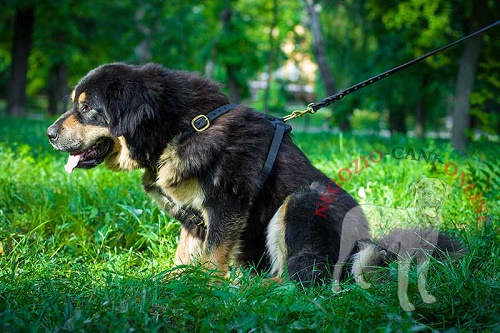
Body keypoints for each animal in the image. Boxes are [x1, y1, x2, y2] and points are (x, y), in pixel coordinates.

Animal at [47, 62, 370, 282]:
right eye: (75, 104)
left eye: (87, 108)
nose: (49, 134)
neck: (182, 129)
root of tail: (366, 241)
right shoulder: (194, 217)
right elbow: (184, 255)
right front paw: (167, 283)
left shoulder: (226, 203)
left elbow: (213, 257)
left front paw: (208, 288)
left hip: (305, 199)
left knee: (300, 278)